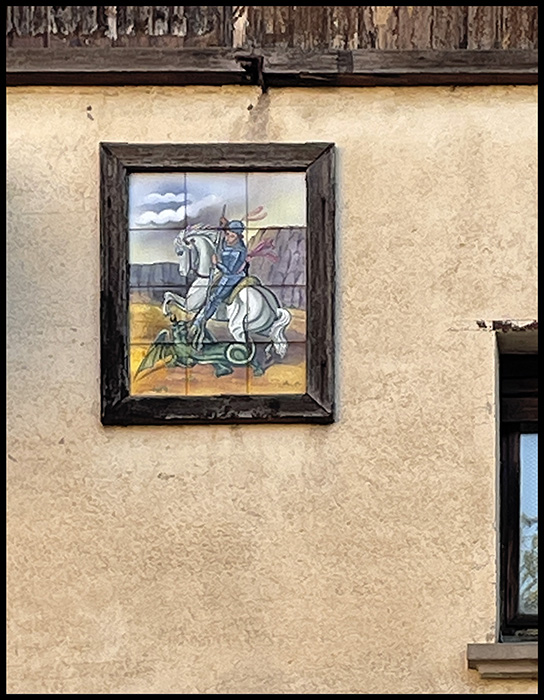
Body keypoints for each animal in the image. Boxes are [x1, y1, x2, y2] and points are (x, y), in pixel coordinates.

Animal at [162, 226, 292, 359]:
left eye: (180, 252)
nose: (182, 272)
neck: (206, 277)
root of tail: (273, 308)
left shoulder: (189, 305)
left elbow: (169, 295)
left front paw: (168, 313)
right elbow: (170, 295)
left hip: (238, 328)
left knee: (250, 345)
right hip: (262, 328)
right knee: (276, 337)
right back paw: (273, 353)